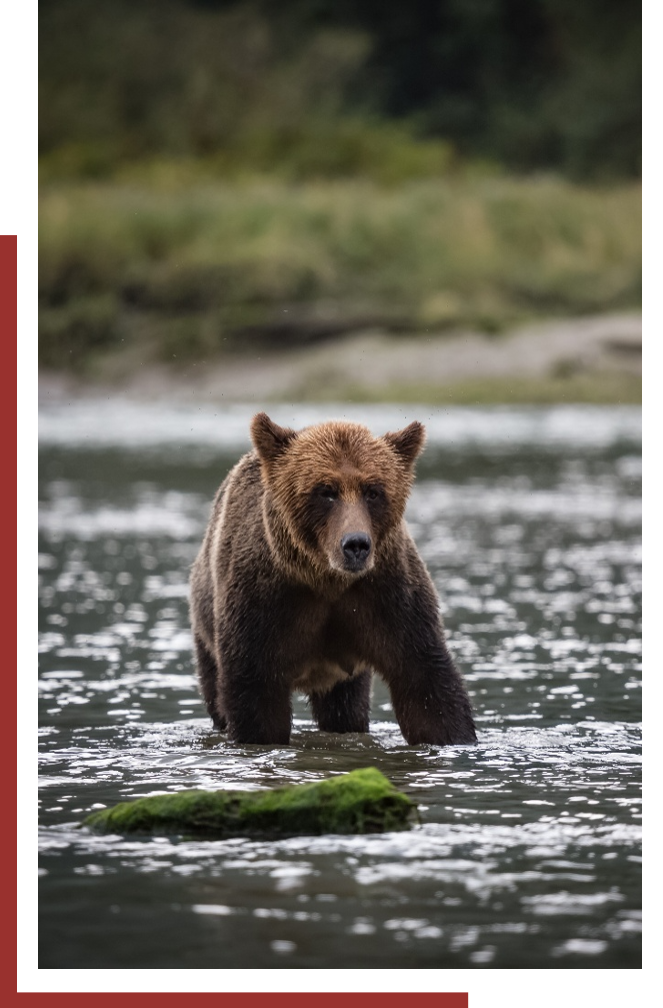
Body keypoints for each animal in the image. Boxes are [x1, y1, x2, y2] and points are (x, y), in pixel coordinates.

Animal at [189, 412, 476, 747]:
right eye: (326, 491)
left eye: (373, 491)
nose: (356, 545)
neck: (327, 579)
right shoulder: (263, 601)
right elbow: (255, 694)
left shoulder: (387, 595)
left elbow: (425, 682)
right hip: (205, 627)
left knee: (347, 707)